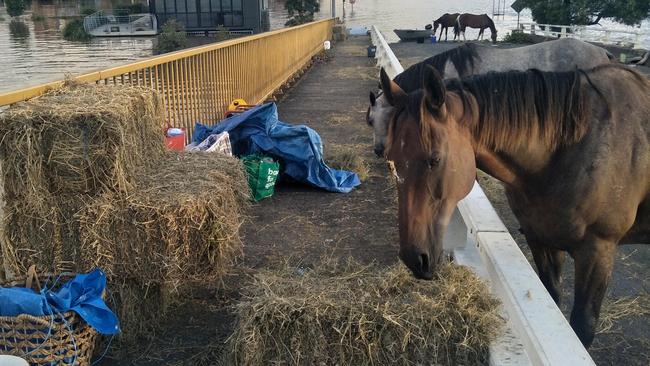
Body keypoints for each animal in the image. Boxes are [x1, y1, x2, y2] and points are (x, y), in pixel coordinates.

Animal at [380, 64, 648, 348]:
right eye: (392, 160)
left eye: (434, 159)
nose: (413, 258)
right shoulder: (541, 240)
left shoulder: (598, 252)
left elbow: (582, 327)